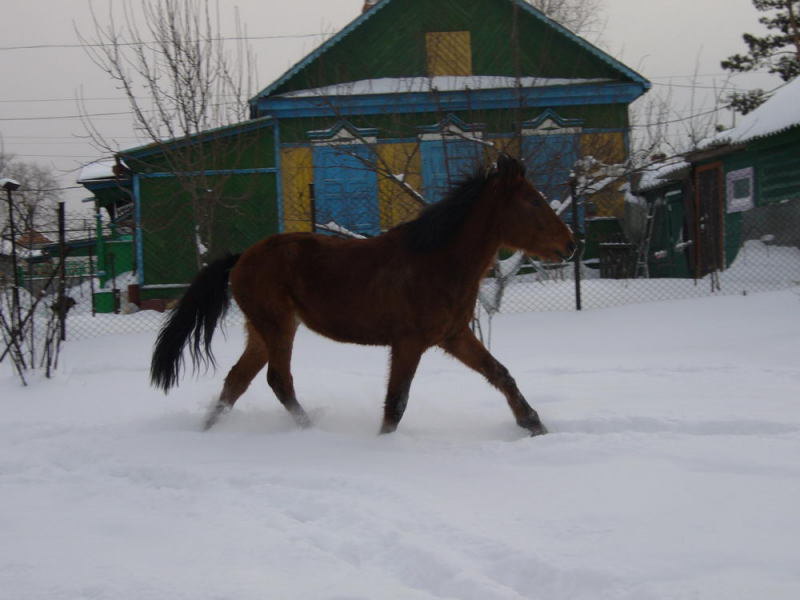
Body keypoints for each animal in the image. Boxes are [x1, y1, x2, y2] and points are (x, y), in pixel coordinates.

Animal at [150, 155, 576, 436]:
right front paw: (382, 446)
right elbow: (396, 403)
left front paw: (535, 425)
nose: (571, 244)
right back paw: (310, 430)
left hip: (260, 332)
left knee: (236, 382)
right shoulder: (409, 342)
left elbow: (500, 373)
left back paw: (208, 431)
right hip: (278, 326)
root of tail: (240, 259)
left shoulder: (453, 335)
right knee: (278, 380)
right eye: (533, 201)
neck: (438, 261)